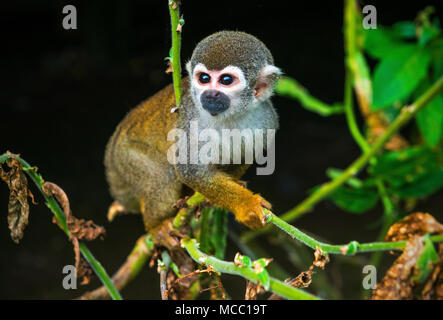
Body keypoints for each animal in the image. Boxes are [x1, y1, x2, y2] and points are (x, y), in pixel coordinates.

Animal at [104, 31, 280, 231]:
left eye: (226, 80)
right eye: (204, 78)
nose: (210, 94)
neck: (229, 116)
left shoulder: (267, 119)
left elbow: (245, 156)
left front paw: (228, 187)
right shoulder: (192, 121)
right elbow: (190, 169)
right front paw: (246, 205)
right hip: (125, 158)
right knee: (162, 177)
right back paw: (156, 229)